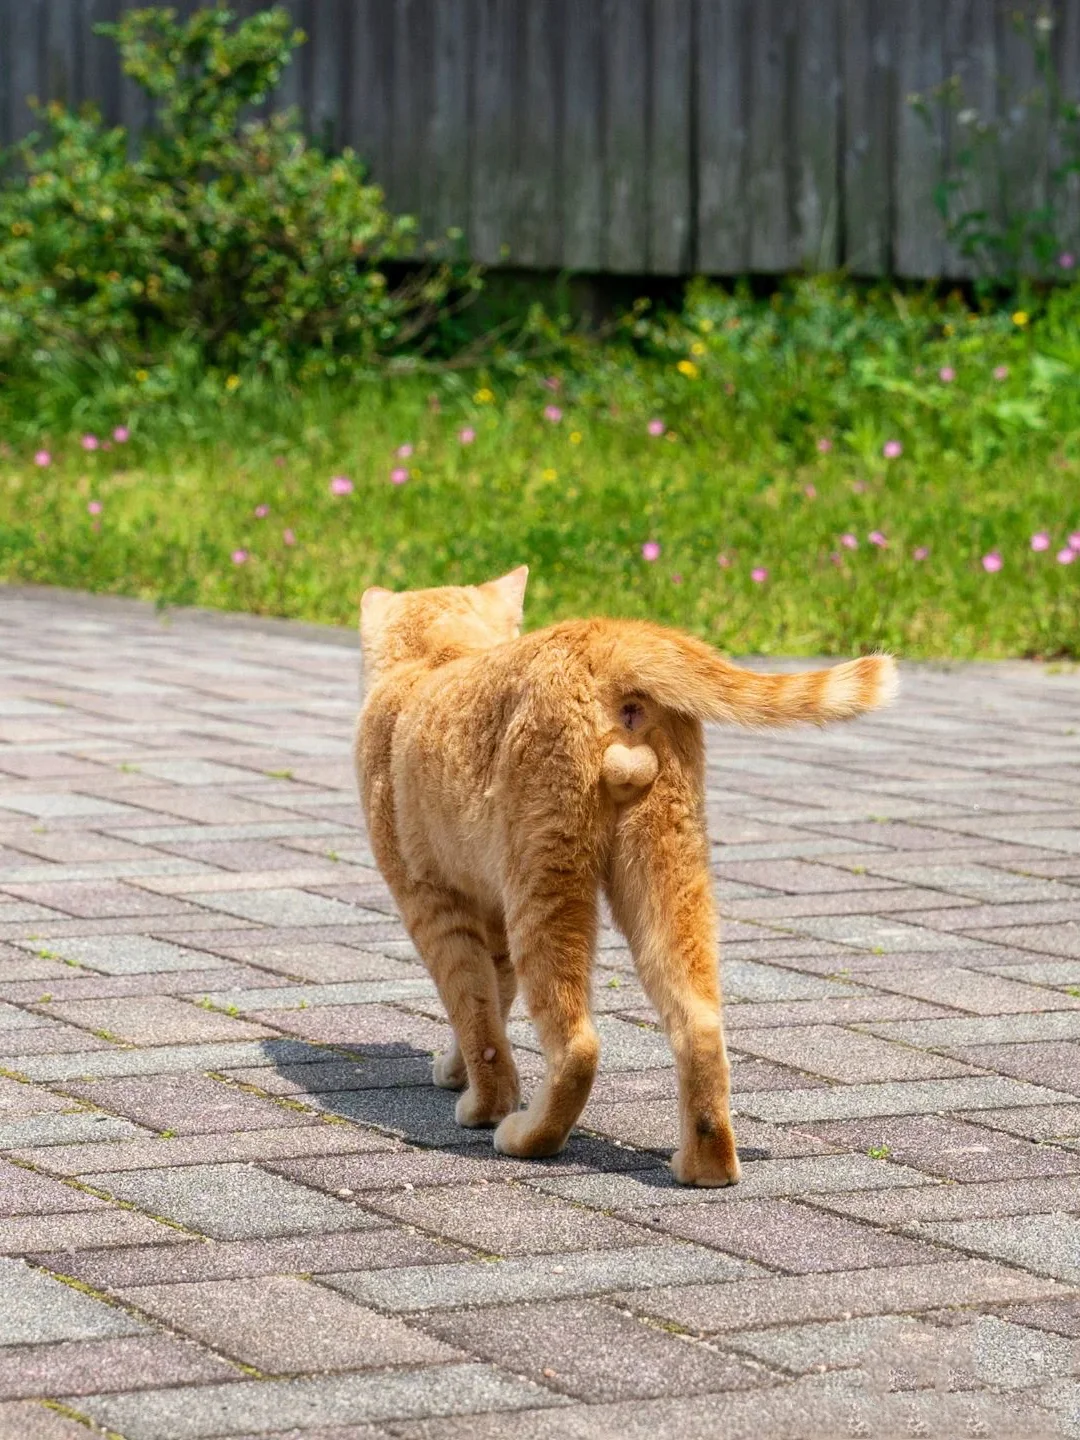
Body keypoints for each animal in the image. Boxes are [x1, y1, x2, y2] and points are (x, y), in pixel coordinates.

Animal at [355, 567, 898, 1186]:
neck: (434, 660)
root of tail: (608, 636)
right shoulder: (487, 915)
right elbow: (492, 1003)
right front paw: (455, 1069)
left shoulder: (431, 900)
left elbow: (475, 1014)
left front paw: (484, 1100)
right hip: (667, 873)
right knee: (700, 1025)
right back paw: (706, 1165)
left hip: (545, 883)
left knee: (577, 1045)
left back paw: (526, 1135)